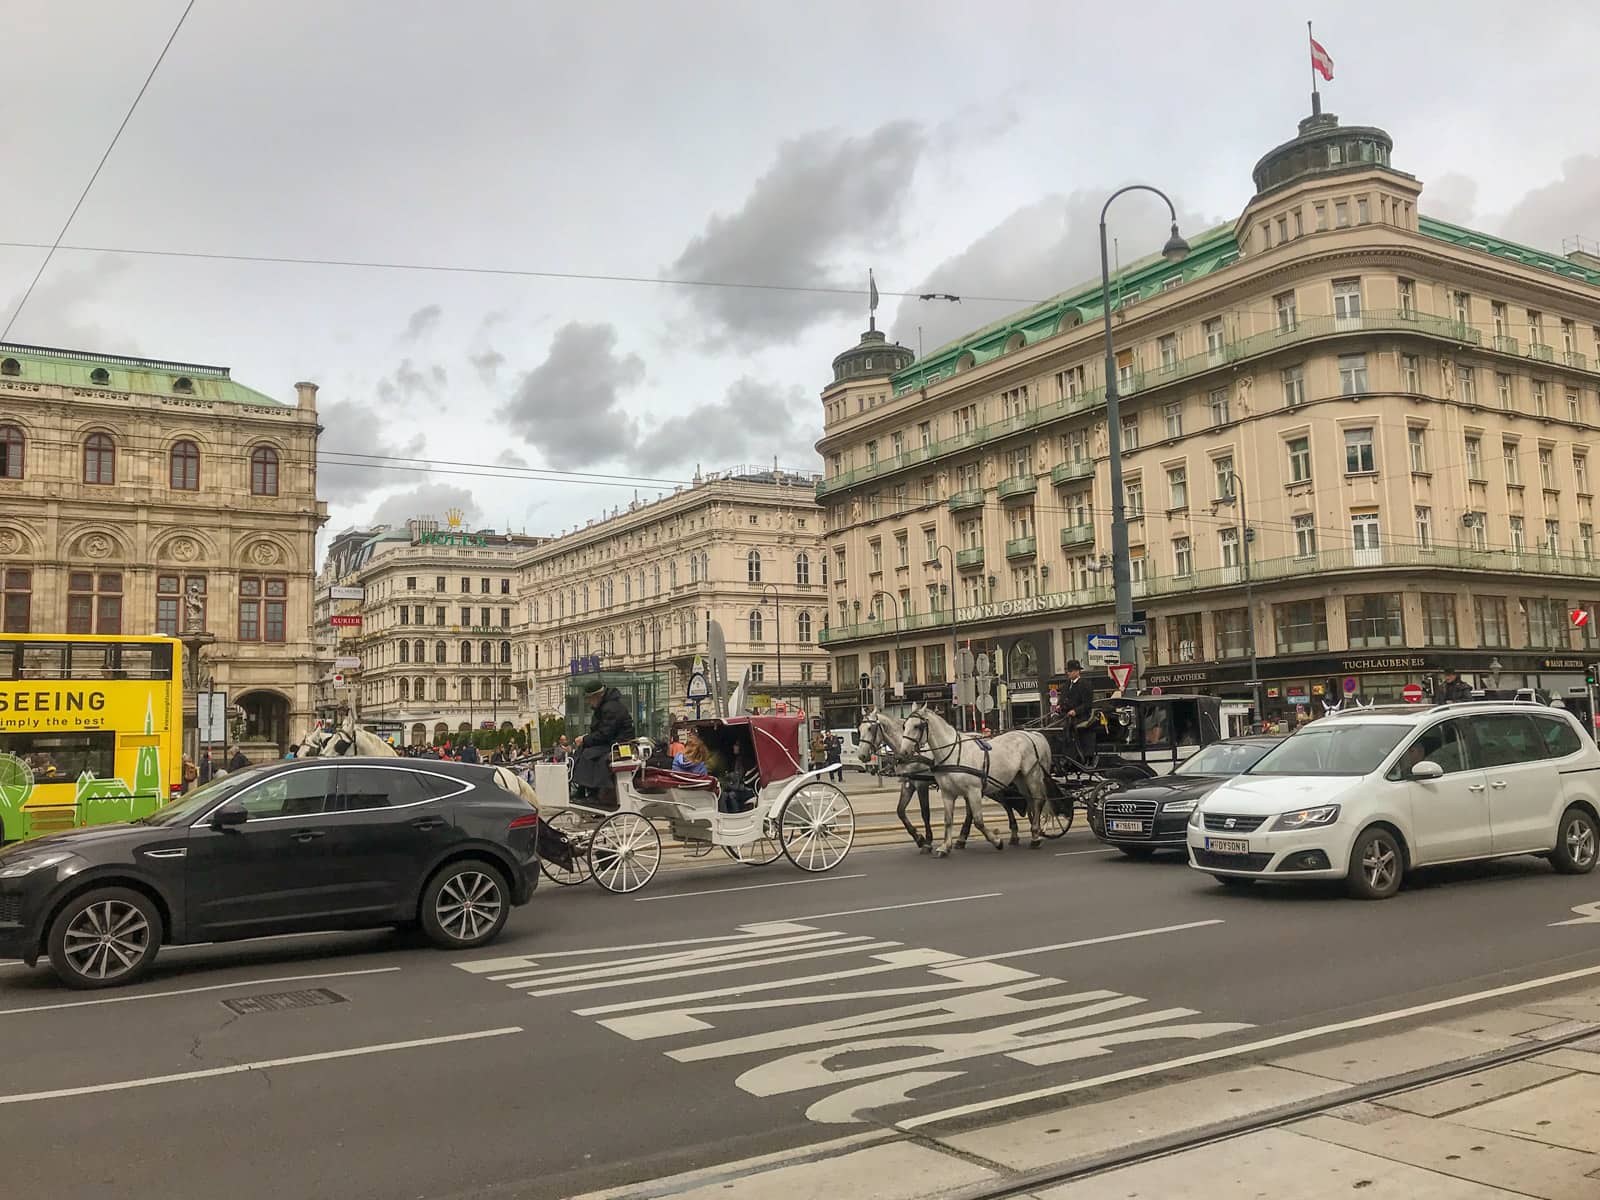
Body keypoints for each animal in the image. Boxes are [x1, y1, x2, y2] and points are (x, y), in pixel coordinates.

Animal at [902, 700, 1049, 857]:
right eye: (904, 725)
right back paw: (1034, 833)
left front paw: (997, 841)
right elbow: (948, 820)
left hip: (1032, 775)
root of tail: (1032, 734)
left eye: (917, 726)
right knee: (1029, 801)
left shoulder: (973, 791)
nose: (903, 752)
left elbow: (978, 821)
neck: (953, 754)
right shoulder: (947, 793)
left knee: (1038, 800)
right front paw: (945, 846)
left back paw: (1035, 836)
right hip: (1020, 778)